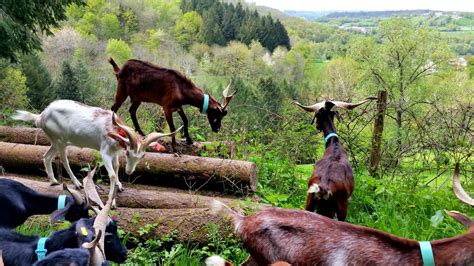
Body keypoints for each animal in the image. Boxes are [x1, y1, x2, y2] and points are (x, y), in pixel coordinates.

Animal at [13, 99, 180, 197]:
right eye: (128, 152)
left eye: (141, 156)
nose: (129, 172)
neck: (113, 129)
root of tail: (41, 116)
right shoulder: (104, 152)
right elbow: (111, 175)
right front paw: (112, 201)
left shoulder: (114, 153)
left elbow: (116, 166)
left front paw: (120, 185)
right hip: (60, 141)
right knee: (64, 159)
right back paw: (77, 183)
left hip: (55, 141)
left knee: (46, 156)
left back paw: (53, 181)